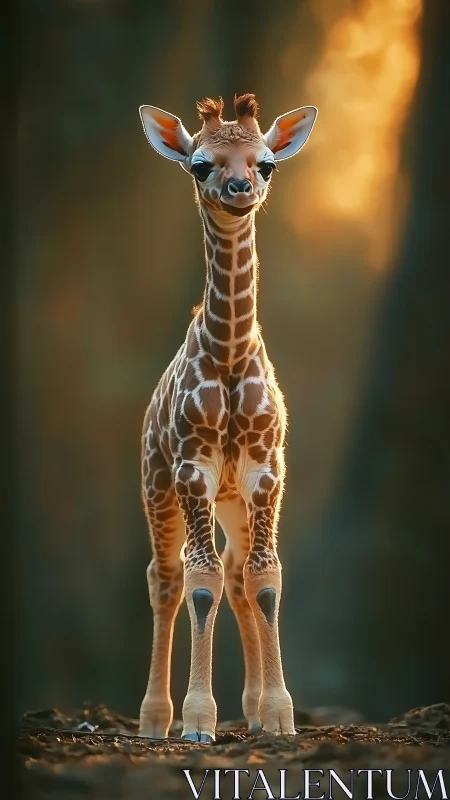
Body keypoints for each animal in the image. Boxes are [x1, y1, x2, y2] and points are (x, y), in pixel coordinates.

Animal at [138, 94, 317, 742]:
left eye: (266, 163)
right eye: (199, 164)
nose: (240, 187)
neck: (232, 355)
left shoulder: (267, 469)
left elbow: (265, 579)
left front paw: (281, 715)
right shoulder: (192, 468)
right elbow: (200, 581)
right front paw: (197, 721)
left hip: (236, 498)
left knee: (240, 576)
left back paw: (256, 709)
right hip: (157, 484)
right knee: (165, 578)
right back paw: (154, 720)